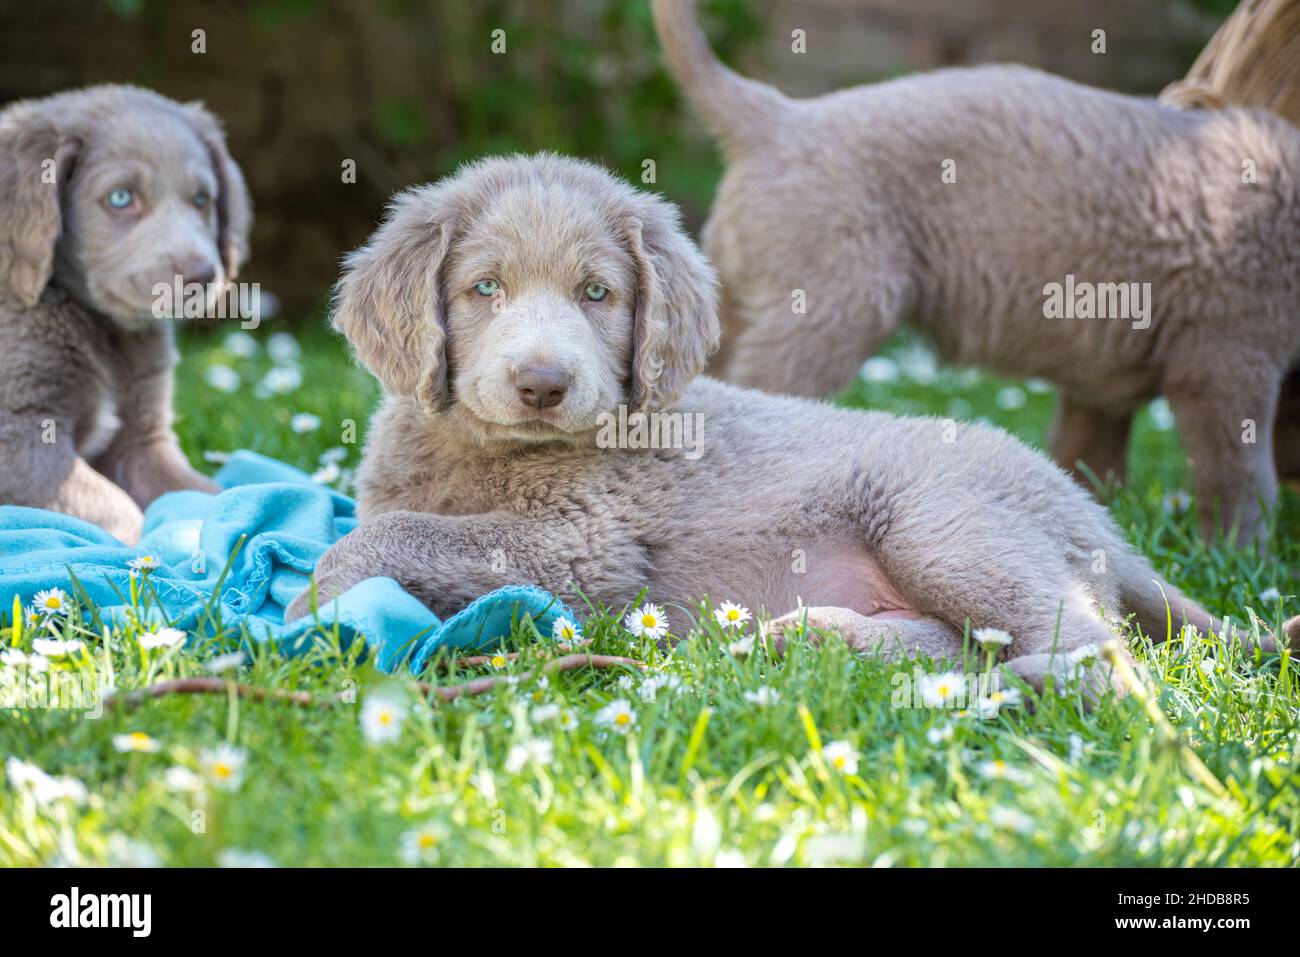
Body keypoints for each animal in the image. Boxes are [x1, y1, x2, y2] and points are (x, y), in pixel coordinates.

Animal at [0, 87, 248, 546]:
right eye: (120, 197)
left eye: (202, 200)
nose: (203, 276)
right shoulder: (19, 433)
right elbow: (109, 504)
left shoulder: (141, 438)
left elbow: (202, 491)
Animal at [287, 157, 1300, 696]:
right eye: (483, 288)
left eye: (597, 294)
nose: (542, 383)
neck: (488, 450)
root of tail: (1099, 523)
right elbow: (381, 521)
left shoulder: (586, 543)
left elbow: (376, 536)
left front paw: (302, 611)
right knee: (979, 638)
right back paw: (805, 641)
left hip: (944, 521)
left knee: (1095, 658)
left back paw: (971, 699)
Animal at [650, 0, 1300, 548]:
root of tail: (779, 115)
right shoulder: (1225, 363)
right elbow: (1239, 474)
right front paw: (1241, 553)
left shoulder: (1103, 385)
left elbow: (1090, 454)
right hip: (827, 312)